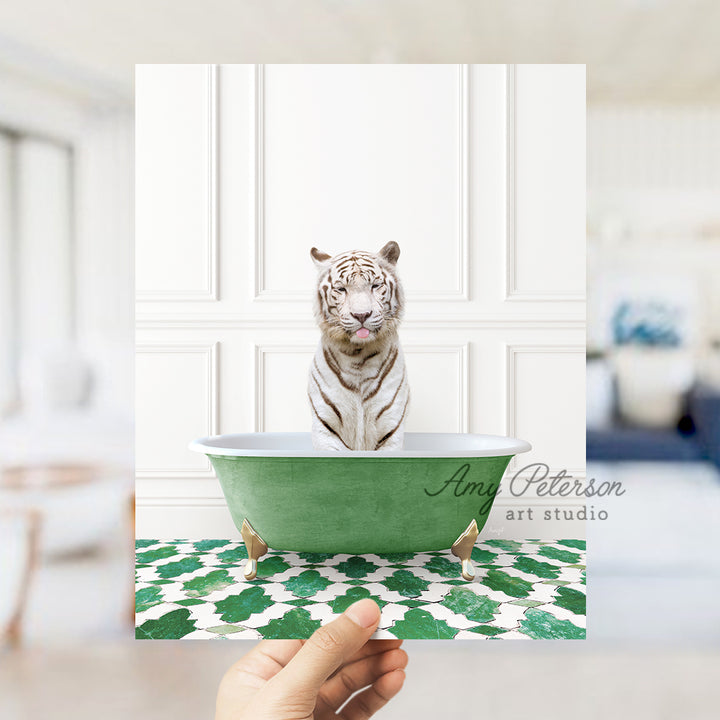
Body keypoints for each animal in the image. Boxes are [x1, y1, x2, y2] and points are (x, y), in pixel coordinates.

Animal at [308, 242, 410, 450]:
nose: (361, 315)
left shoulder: (391, 427)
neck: (358, 356)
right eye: (341, 289)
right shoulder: (325, 428)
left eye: (375, 286)